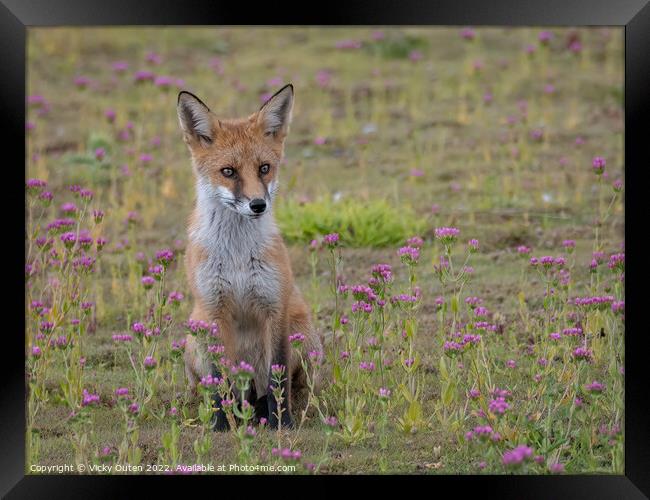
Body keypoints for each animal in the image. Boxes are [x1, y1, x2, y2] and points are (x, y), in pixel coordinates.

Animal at [176, 85, 320, 430]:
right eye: (228, 172)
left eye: (264, 168)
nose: (258, 205)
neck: (238, 258)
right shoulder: (215, 310)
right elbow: (219, 379)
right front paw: (221, 424)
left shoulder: (274, 307)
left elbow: (277, 377)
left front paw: (282, 422)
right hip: (195, 336)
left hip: (304, 335)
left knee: (279, 387)